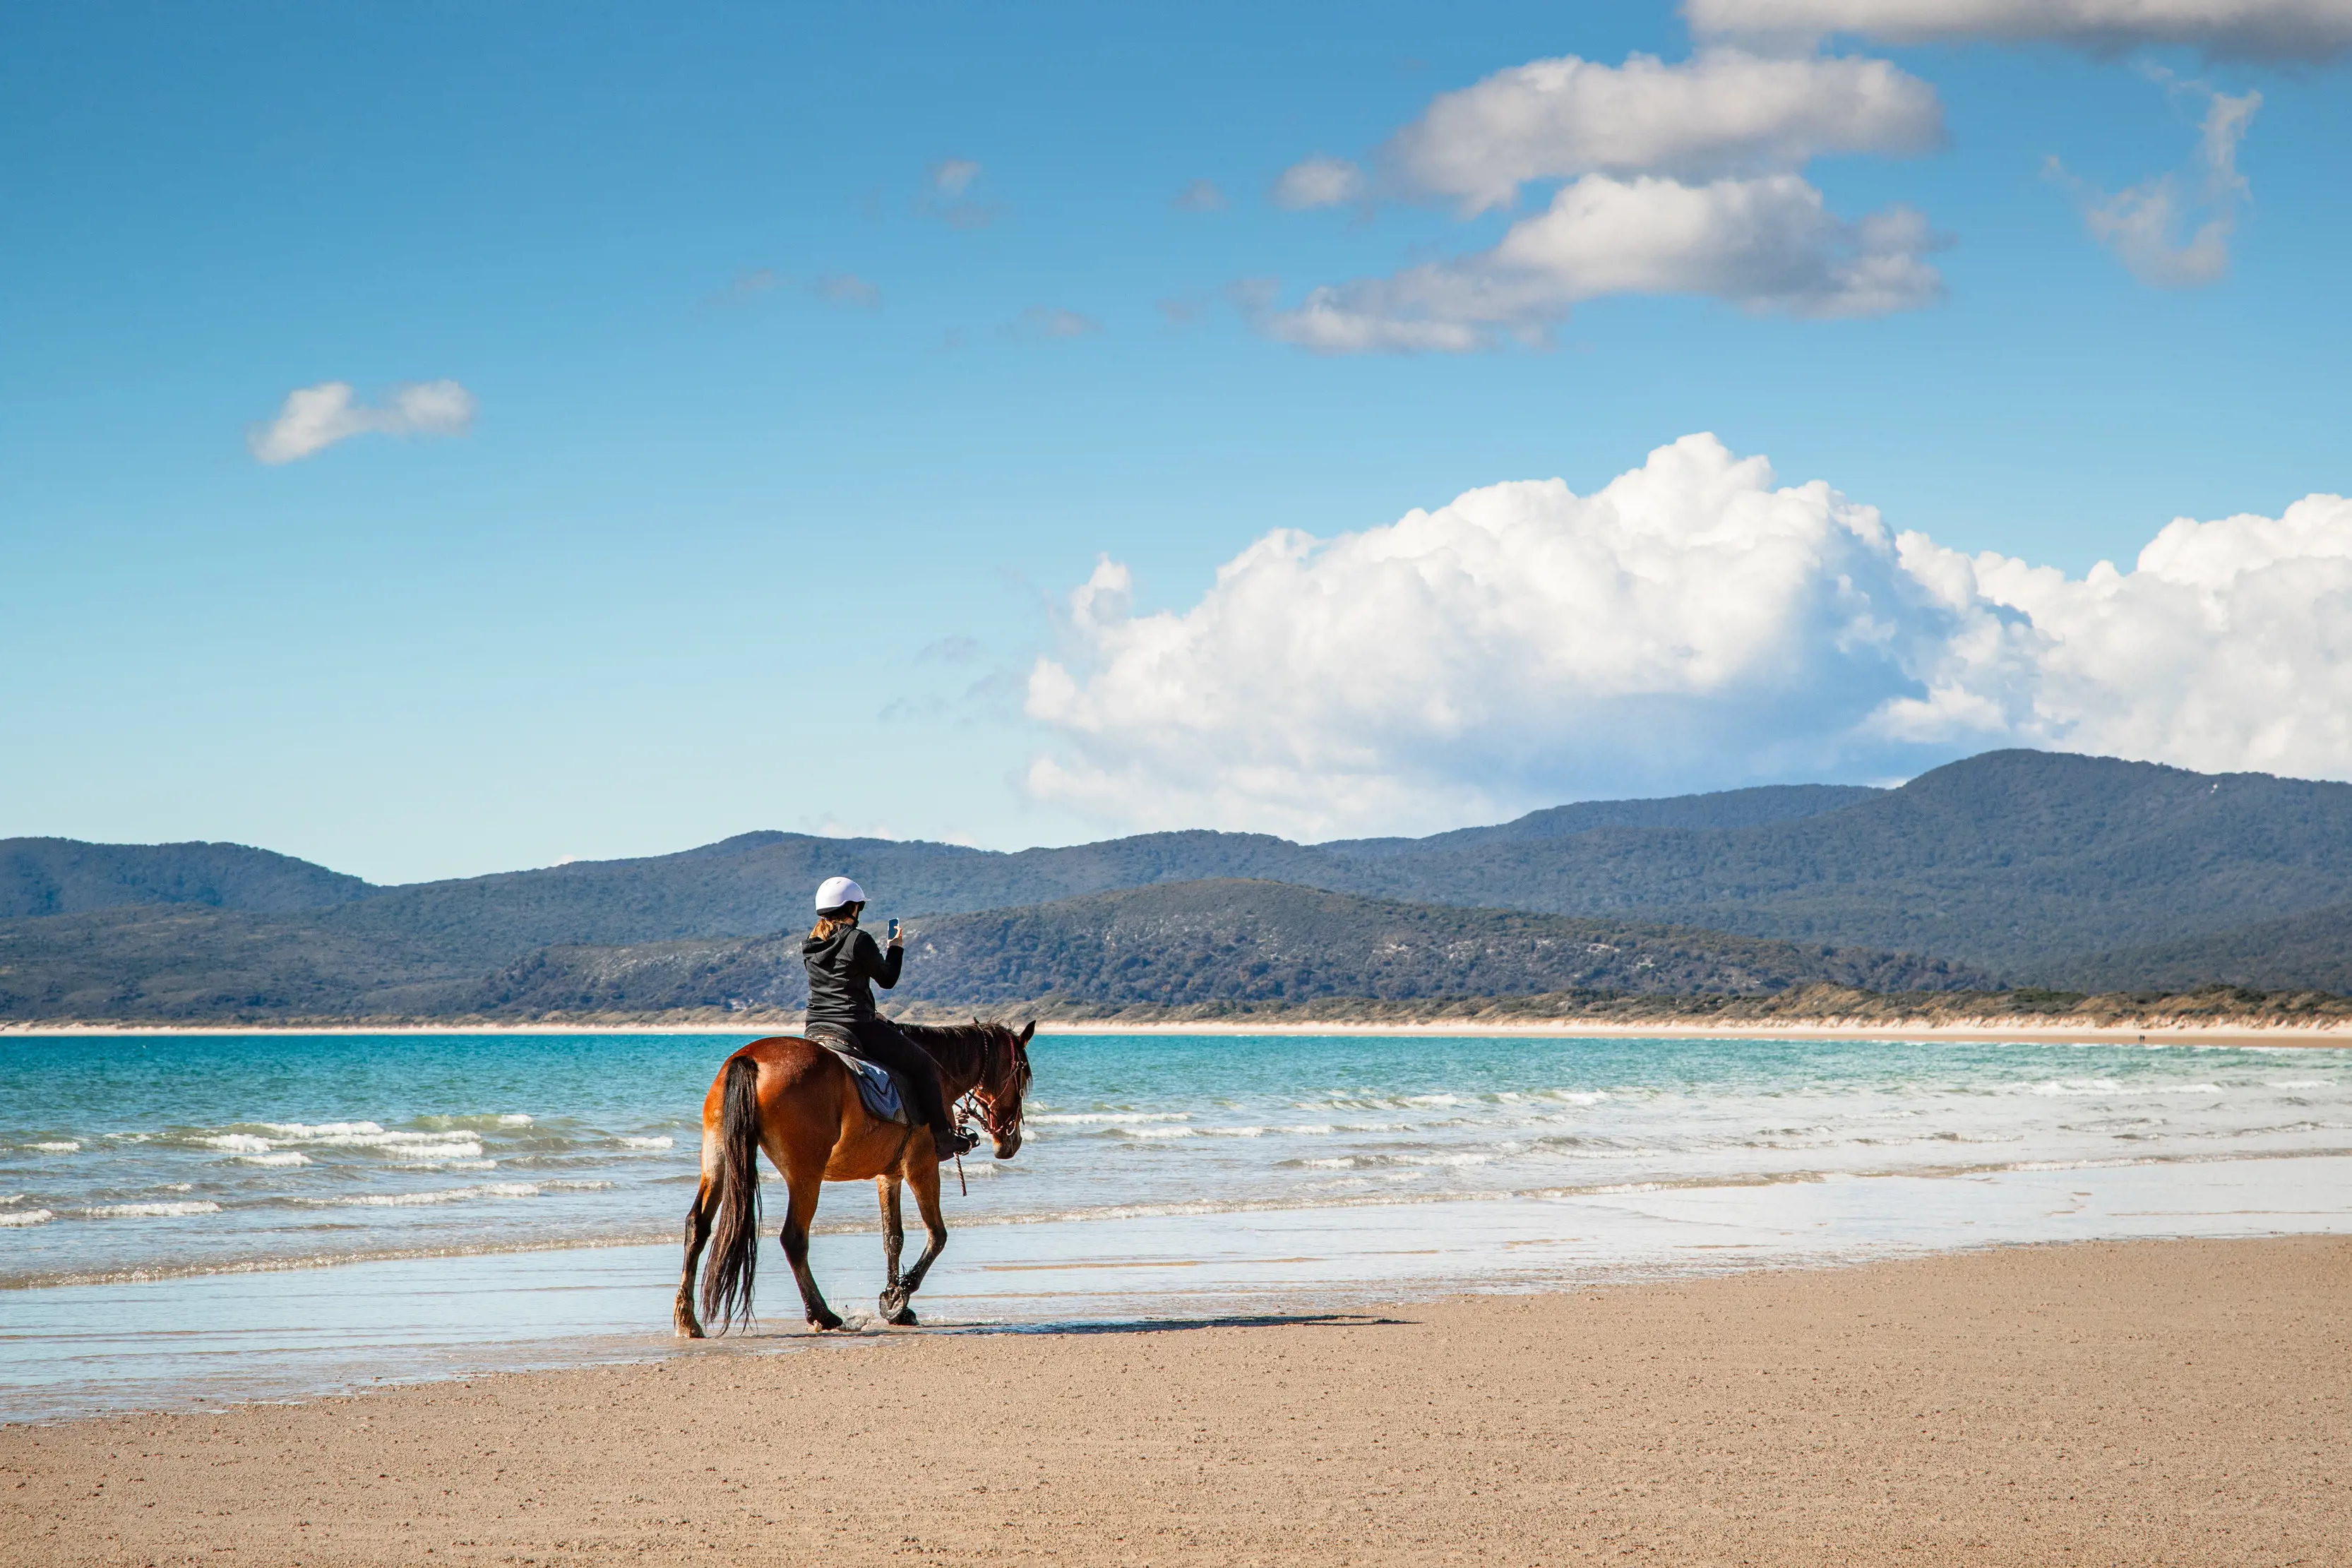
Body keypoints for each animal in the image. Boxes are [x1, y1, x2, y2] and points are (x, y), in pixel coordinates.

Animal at [668, 1020, 1025, 1335]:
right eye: (1023, 1075)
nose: (1011, 1143)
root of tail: (749, 1059)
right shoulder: (921, 1167)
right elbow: (937, 1235)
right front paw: (899, 1295)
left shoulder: (889, 1175)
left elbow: (893, 1238)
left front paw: (895, 1302)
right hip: (805, 1175)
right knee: (793, 1239)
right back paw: (821, 1314)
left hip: (718, 1161)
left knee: (697, 1226)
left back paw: (688, 1319)